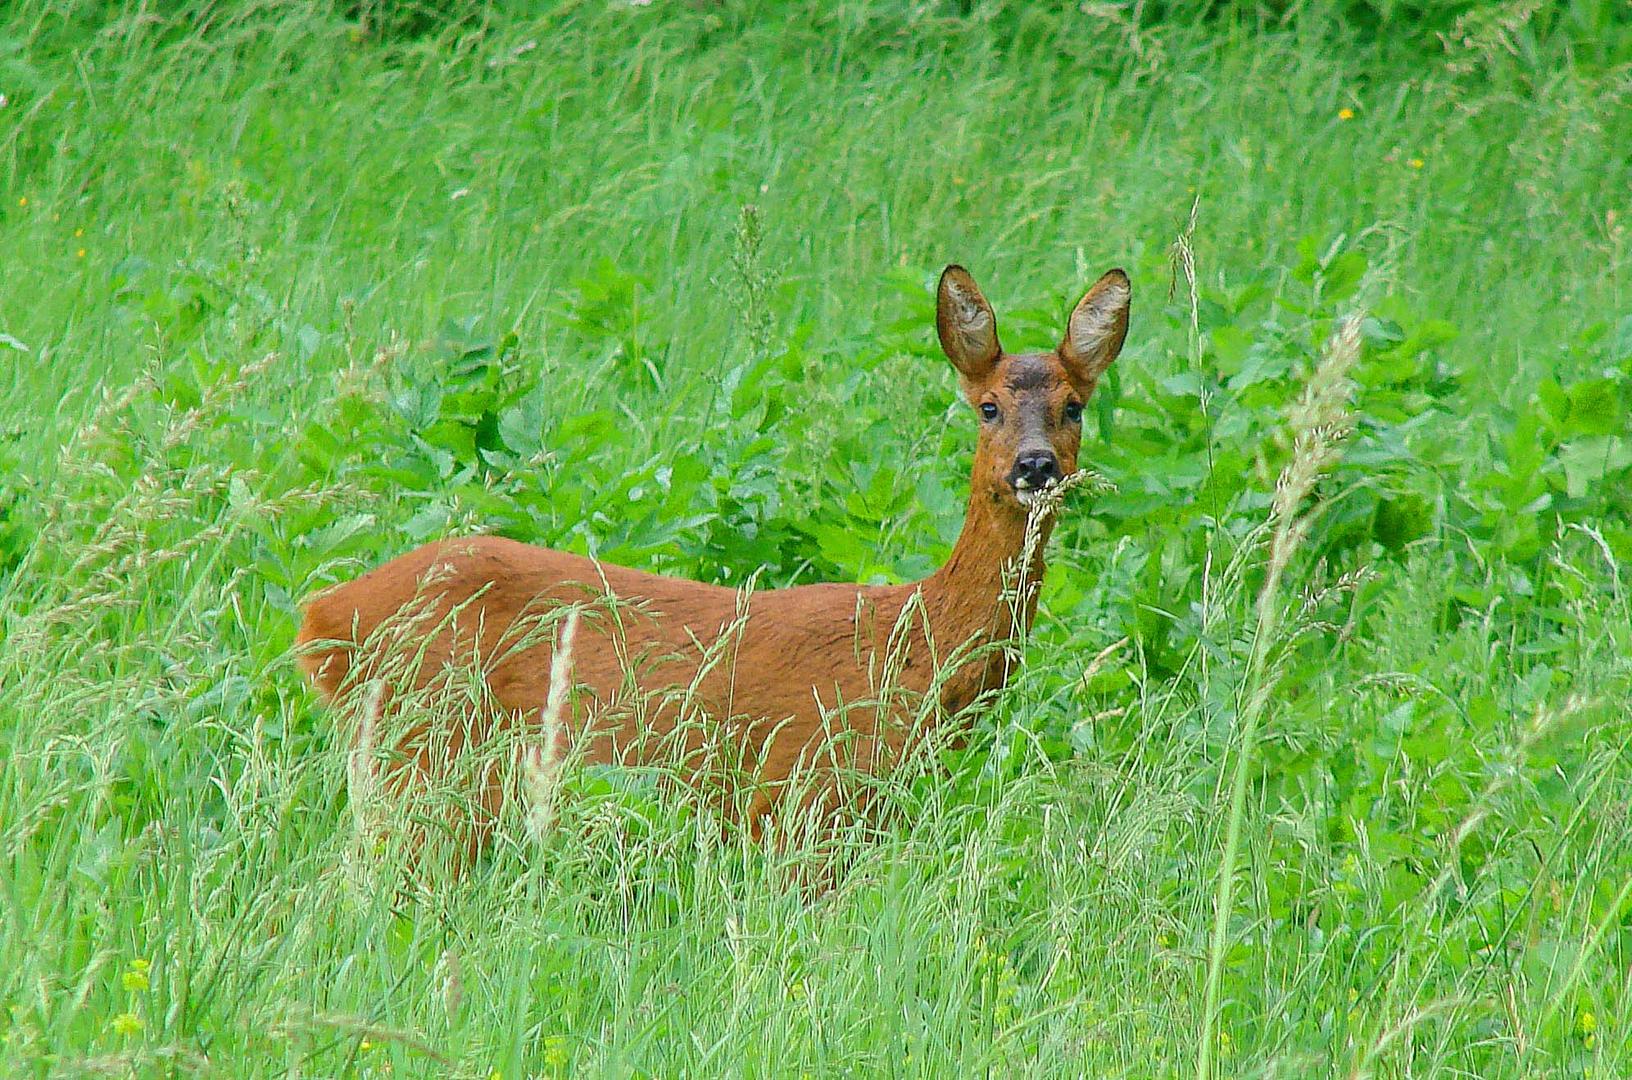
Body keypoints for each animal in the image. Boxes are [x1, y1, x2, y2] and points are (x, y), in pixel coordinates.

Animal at [297, 264, 1135, 874]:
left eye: (1074, 406)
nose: (1036, 465)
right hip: (429, 763)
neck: (913, 648)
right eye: (988, 406)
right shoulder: (806, 799)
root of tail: (321, 619)